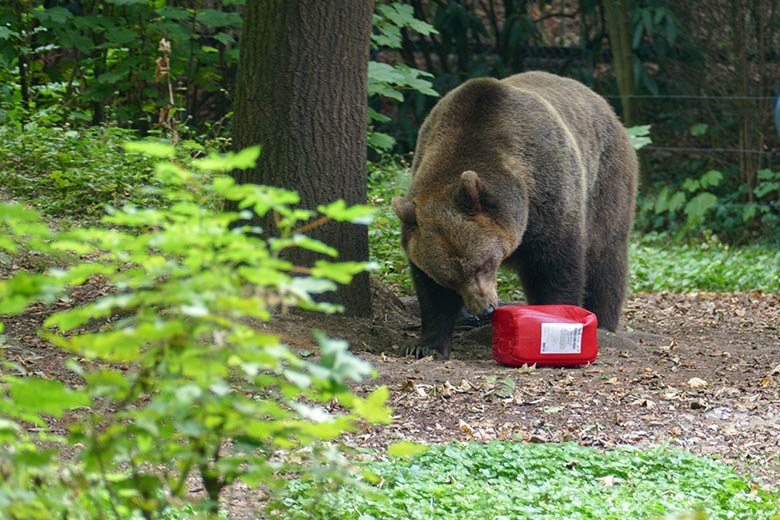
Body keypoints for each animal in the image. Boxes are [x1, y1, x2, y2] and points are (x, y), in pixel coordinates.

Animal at [394, 71, 636, 360]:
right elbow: (431, 292)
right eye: (451, 278)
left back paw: (604, 320)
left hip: (606, 178)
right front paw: (427, 345)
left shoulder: (548, 193)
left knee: (605, 254)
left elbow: (556, 267)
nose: (485, 308)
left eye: (483, 264)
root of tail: (604, 104)